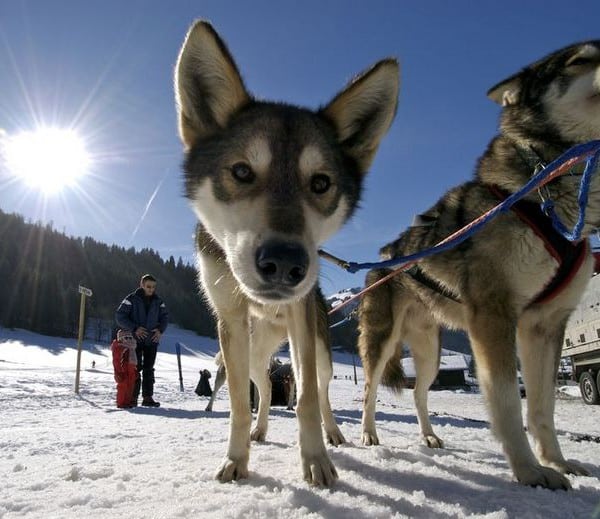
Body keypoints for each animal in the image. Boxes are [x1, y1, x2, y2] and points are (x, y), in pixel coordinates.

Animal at [173, 21, 398, 488]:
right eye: (242, 171)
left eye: (321, 183)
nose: (285, 262)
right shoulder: (230, 321)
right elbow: (239, 404)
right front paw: (235, 460)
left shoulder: (302, 324)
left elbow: (308, 398)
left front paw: (316, 462)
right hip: (257, 352)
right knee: (260, 390)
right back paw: (259, 431)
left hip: (317, 349)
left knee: (321, 391)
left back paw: (333, 434)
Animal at [358, 38, 596, 490]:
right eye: (581, 60)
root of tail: (380, 259)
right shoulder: (493, 316)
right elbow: (506, 402)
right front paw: (528, 469)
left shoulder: (544, 325)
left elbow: (542, 407)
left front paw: (556, 462)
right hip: (382, 340)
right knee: (369, 388)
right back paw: (367, 435)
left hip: (430, 351)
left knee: (419, 393)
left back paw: (430, 436)